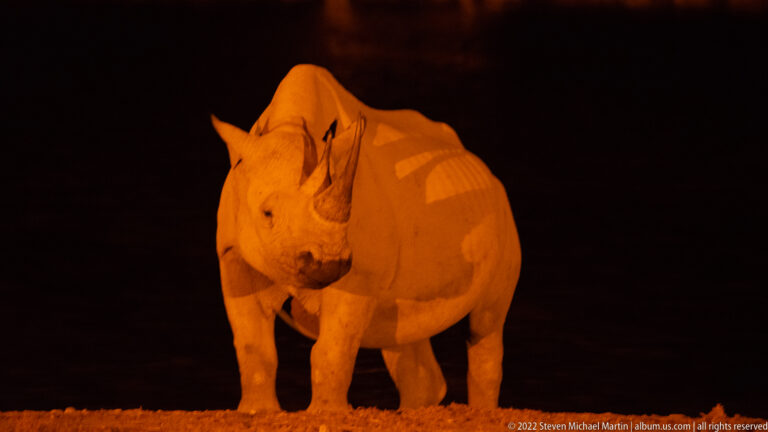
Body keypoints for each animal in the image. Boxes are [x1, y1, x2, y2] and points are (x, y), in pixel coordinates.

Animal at [212, 64, 521, 412]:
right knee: (404, 332)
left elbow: (333, 348)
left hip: (505, 217)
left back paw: (482, 408)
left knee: (487, 323)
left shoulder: (359, 274)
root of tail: (482, 166)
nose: (327, 264)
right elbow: (253, 344)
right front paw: (257, 412)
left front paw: (326, 413)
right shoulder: (234, 254)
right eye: (267, 214)